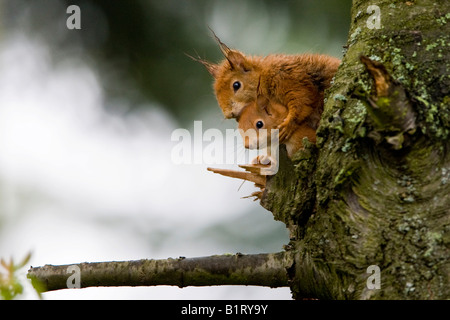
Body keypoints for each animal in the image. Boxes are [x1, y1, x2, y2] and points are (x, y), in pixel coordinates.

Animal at [194, 34, 342, 142]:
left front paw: (288, 124)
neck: (263, 76)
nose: (229, 114)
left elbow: (302, 100)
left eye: (236, 85)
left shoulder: (286, 78)